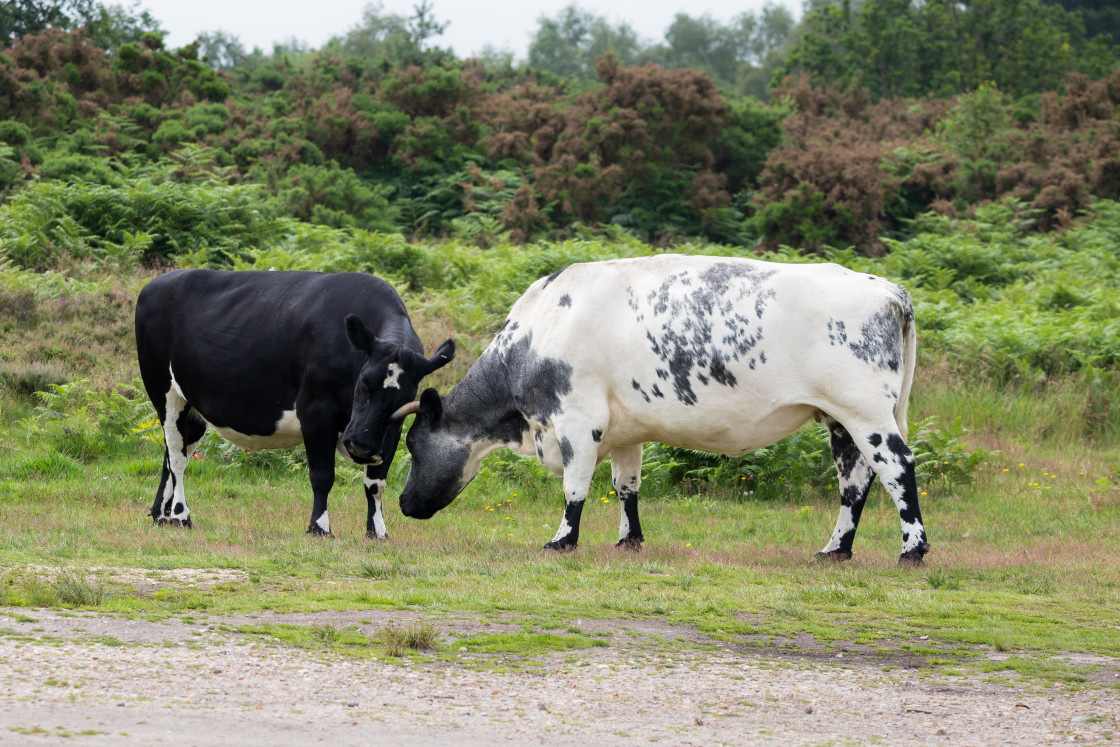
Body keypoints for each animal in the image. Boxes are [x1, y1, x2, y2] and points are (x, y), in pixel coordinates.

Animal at [135, 268, 454, 537]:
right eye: (364, 382)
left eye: (406, 396)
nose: (361, 445)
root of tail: (156, 282)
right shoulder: (315, 412)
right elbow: (322, 476)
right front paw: (319, 528)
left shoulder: (390, 430)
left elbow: (376, 484)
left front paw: (377, 532)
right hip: (164, 391)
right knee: (177, 456)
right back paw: (180, 516)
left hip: (192, 405)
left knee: (172, 452)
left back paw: (160, 515)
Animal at [394, 254, 927, 564]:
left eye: (414, 444)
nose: (402, 504)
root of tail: (887, 289)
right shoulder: (624, 430)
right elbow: (625, 485)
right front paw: (628, 540)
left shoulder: (577, 419)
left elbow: (575, 486)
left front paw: (562, 540)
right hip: (840, 420)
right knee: (854, 483)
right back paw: (835, 550)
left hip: (865, 413)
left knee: (897, 467)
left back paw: (912, 550)